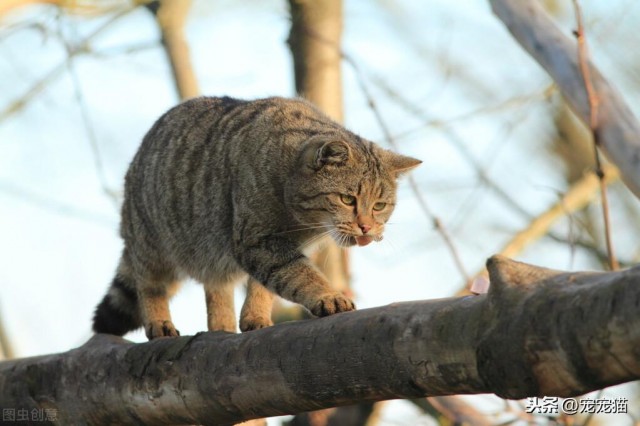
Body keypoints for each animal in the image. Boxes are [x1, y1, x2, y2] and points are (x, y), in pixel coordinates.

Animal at [90, 96, 420, 340]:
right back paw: (159, 323)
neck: (301, 221)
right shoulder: (258, 241)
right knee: (149, 284)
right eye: (348, 199)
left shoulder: (271, 246)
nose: (366, 227)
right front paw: (327, 295)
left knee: (216, 286)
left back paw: (221, 326)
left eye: (379, 206)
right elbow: (297, 273)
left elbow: (266, 286)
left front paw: (256, 316)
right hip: (152, 243)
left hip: (209, 250)